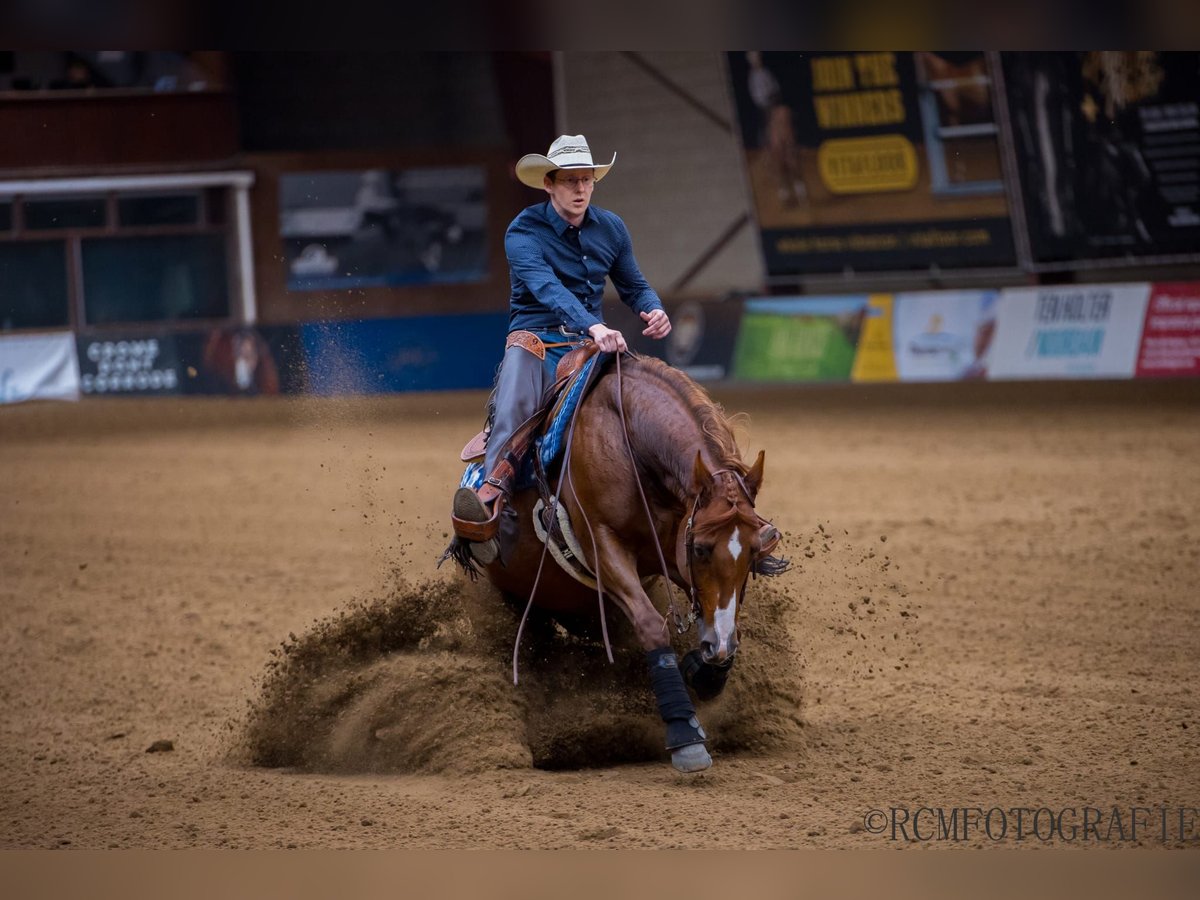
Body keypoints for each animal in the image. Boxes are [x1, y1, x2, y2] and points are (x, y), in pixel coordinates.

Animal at [446, 352, 782, 777]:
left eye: (755, 549)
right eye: (703, 549)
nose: (719, 646)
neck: (631, 443)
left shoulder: (671, 555)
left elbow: (717, 616)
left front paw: (705, 667)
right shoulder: (604, 547)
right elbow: (651, 624)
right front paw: (685, 734)